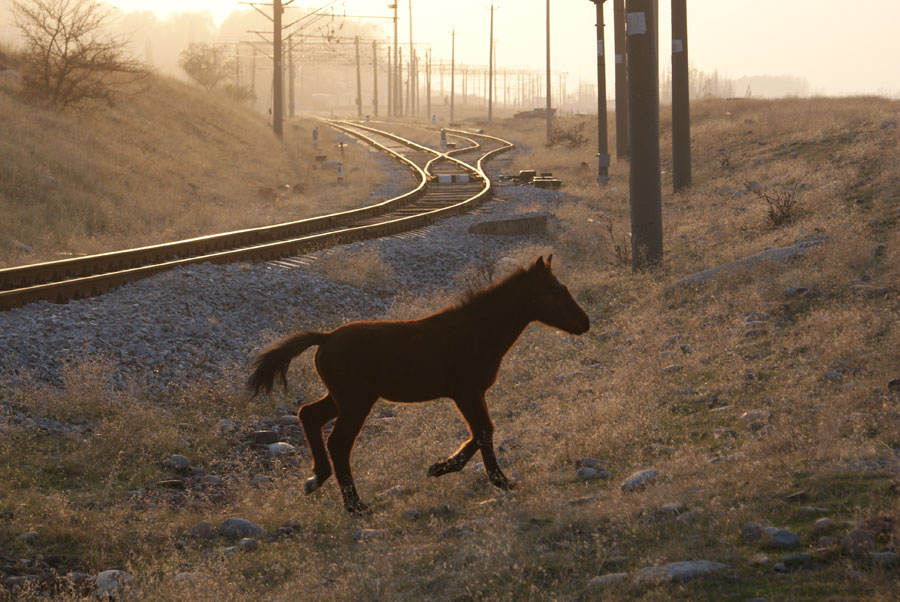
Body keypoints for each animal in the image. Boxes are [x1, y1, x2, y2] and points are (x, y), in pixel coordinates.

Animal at [251, 253, 592, 510]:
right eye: (555, 292)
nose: (585, 323)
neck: (477, 330)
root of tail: (325, 338)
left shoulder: (470, 394)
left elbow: (482, 432)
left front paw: (444, 467)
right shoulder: (467, 392)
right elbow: (483, 432)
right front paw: (496, 480)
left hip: (342, 398)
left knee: (308, 415)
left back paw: (316, 479)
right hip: (356, 402)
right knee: (338, 442)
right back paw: (354, 505)